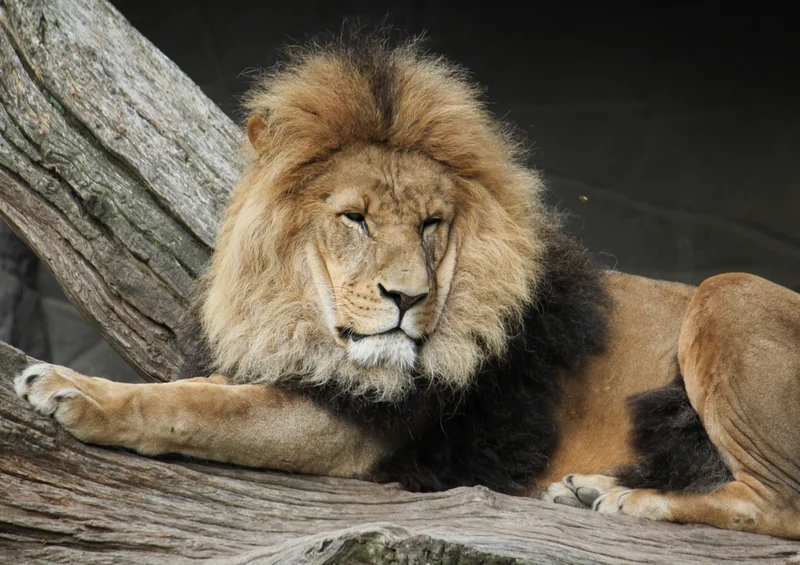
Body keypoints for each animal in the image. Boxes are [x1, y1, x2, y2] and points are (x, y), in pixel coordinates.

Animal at [14, 33, 800, 539]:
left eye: (432, 224)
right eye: (355, 219)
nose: (407, 298)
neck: (297, 317)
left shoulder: (352, 428)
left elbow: (195, 407)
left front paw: (74, 391)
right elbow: (202, 390)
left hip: (723, 293)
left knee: (779, 505)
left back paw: (636, 502)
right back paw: (592, 490)